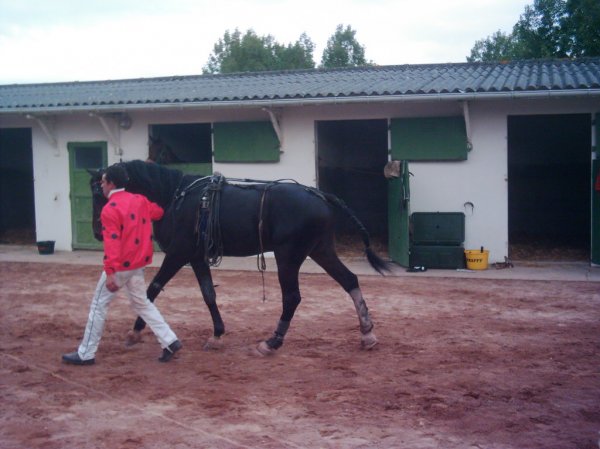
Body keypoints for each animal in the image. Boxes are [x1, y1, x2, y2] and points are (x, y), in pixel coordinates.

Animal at [89, 160, 390, 354]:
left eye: (99, 189)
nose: (97, 231)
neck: (176, 197)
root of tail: (321, 195)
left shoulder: (178, 252)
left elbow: (153, 289)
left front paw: (135, 331)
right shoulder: (197, 256)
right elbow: (208, 294)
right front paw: (217, 335)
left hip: (288, 256)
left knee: (292, 297)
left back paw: (272, 342)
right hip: (320, 250)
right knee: (349, 280)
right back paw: (367, 333)